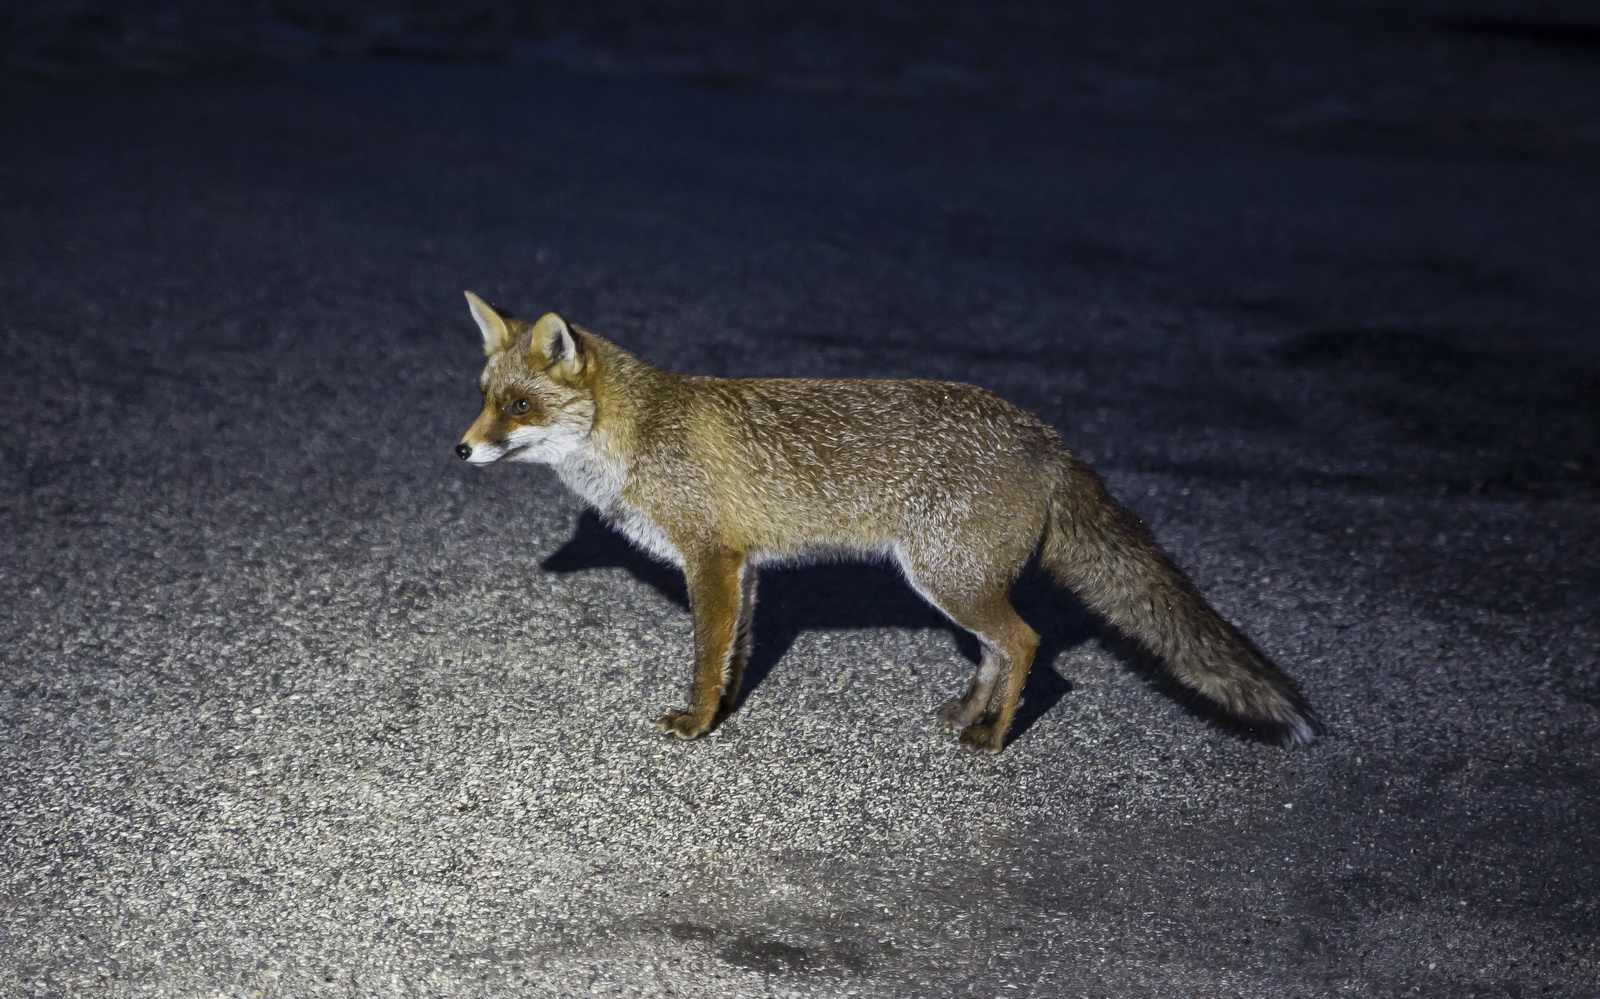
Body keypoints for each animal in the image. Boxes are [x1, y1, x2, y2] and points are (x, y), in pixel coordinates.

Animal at [454, 292, 1320, 754]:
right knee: (998, 650)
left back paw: (992, 738)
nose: (461, 449)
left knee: (1027, 643)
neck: (638, 436)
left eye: (519, 406)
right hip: (956, 584)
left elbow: (705, 658)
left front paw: (697, 723)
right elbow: (735, 656)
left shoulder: (711, 557)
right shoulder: (746, 566)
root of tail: (1044, 432)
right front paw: (726, 714)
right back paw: (968, 712)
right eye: (484, 396)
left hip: (948, 579)